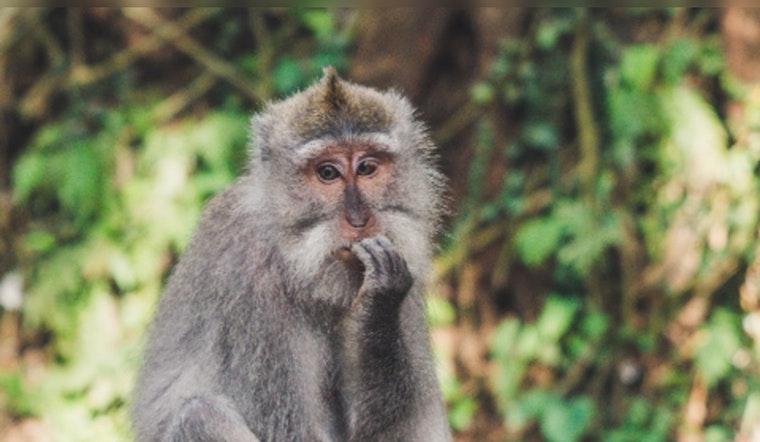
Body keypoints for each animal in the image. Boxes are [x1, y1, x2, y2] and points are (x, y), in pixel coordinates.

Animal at [131, 66, 452, 442]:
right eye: (327, 172)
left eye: (367, 168)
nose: (359, 219)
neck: (295, 262)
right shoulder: (251, 286)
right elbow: (291, 431)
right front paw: (380, 298)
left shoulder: (405, 261)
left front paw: (379, 306)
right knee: (199, 416)